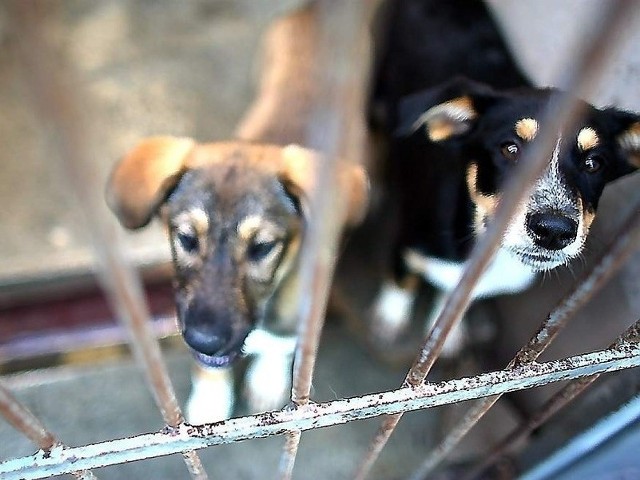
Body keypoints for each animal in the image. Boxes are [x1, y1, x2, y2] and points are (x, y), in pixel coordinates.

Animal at [107, 3, 368, 424]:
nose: (204, 340)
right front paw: (210, 401)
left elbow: (282, 340)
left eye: (262, 247)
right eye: (186, 238)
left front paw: (266, 381)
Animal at [370, 0, 640, 352]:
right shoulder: (410, 240)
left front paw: (448, 334)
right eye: (510, 149)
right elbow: (402, 280)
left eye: (594, 163)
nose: (554, 231)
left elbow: (453, 299)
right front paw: (389, 319)